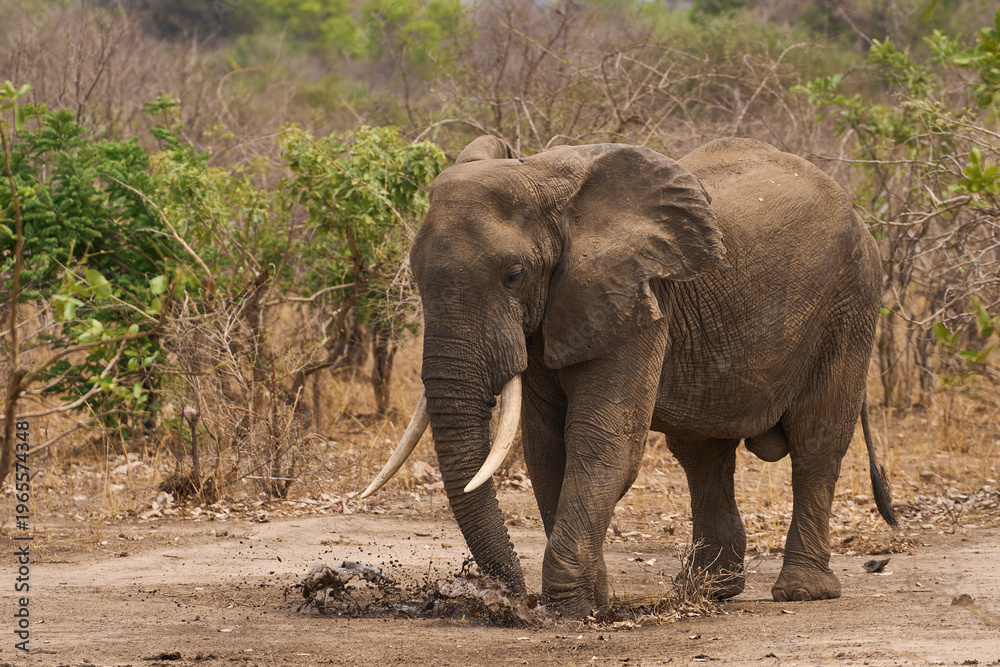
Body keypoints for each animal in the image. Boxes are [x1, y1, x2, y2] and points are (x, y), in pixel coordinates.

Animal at [361, 135, 897, 618]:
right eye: (415, 276)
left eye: (514, 275)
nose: (509, 597)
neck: (547, 182)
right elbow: (546, 447)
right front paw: (596, 603)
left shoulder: (637, 295)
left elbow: (601, 440)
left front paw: (571, 610)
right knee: (702, 451)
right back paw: (710, 591)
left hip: (851, 298)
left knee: (817, 440)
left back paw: (803, 592)